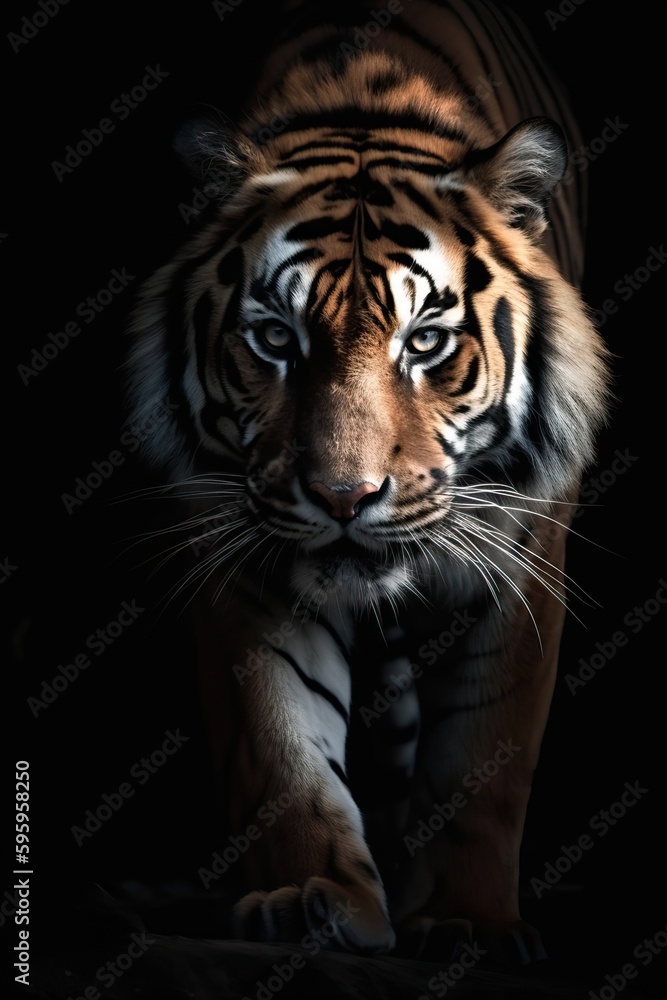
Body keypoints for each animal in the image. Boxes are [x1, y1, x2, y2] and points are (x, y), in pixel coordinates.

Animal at [124, 0, 611, 966]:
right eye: (275, 338)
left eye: (423, 342)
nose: (344, 499)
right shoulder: (246, 555)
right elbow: (280, 746)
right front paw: (309, 899)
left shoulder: (523, 555)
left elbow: (483, 755)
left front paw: (468, 921)